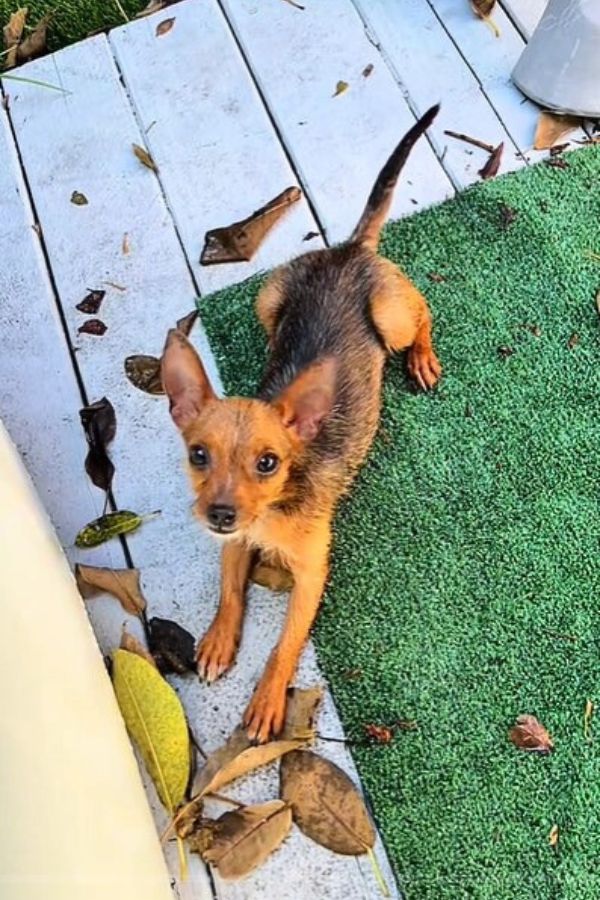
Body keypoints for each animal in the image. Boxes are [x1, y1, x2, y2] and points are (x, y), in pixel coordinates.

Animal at [162, 105, 442, 740]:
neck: (271, 512)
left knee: (423, 314)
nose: (219, 513)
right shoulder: (233, 543)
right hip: (268, 298)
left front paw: (268, 699)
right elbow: (228, 592)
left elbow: (285, 645)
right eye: (197, 454)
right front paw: (218, 640)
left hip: (389, 317)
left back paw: (422, 357)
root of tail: (348, 250)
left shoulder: (313, 573)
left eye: (268, 462)